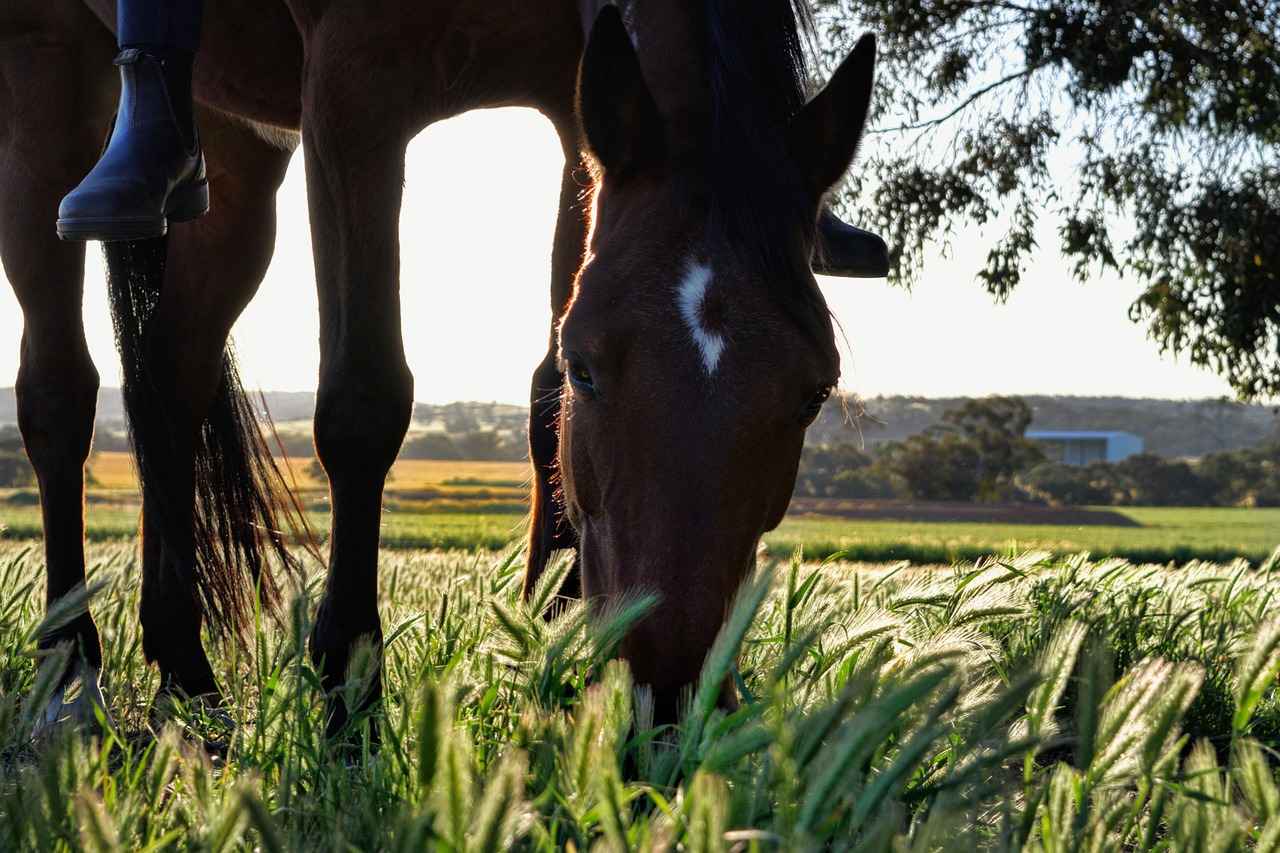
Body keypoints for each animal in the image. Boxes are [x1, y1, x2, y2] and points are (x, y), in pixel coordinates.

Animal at [0, 0, 885, 735]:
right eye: (590, 367)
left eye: (814, 391)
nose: (667, 698)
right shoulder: (354, 84)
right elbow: (363, 399)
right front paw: (349, 690)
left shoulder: (574, 105)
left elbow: (541, 398)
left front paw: (551, 650)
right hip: (47, 66)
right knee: (59, 394)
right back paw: (68, 673)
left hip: (234, 143)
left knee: (169, 374)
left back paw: (185, 676)